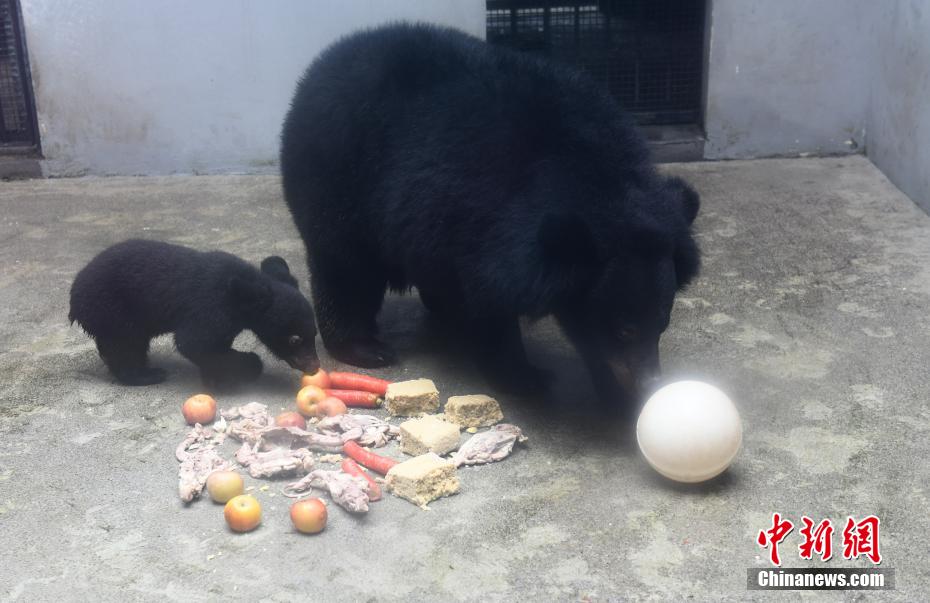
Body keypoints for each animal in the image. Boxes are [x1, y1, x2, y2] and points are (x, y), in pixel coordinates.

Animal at [69, 239, 320, 386]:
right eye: (295, 339)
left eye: (314, 334)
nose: (315, 367)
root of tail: (74, 299)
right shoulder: (210, 308)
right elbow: (194, 342)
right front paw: (244, 366)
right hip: (115, 312)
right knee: (125, 346)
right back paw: (146, 375)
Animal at [280, 23, 700, 410]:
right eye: (625, 330)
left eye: (662, 323)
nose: (649, 386)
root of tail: (320, 67)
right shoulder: (482, 221)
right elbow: (488, 307)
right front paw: (528, 377)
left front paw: (613, 394)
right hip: (337, 178)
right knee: (345, 266)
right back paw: (364, 346)